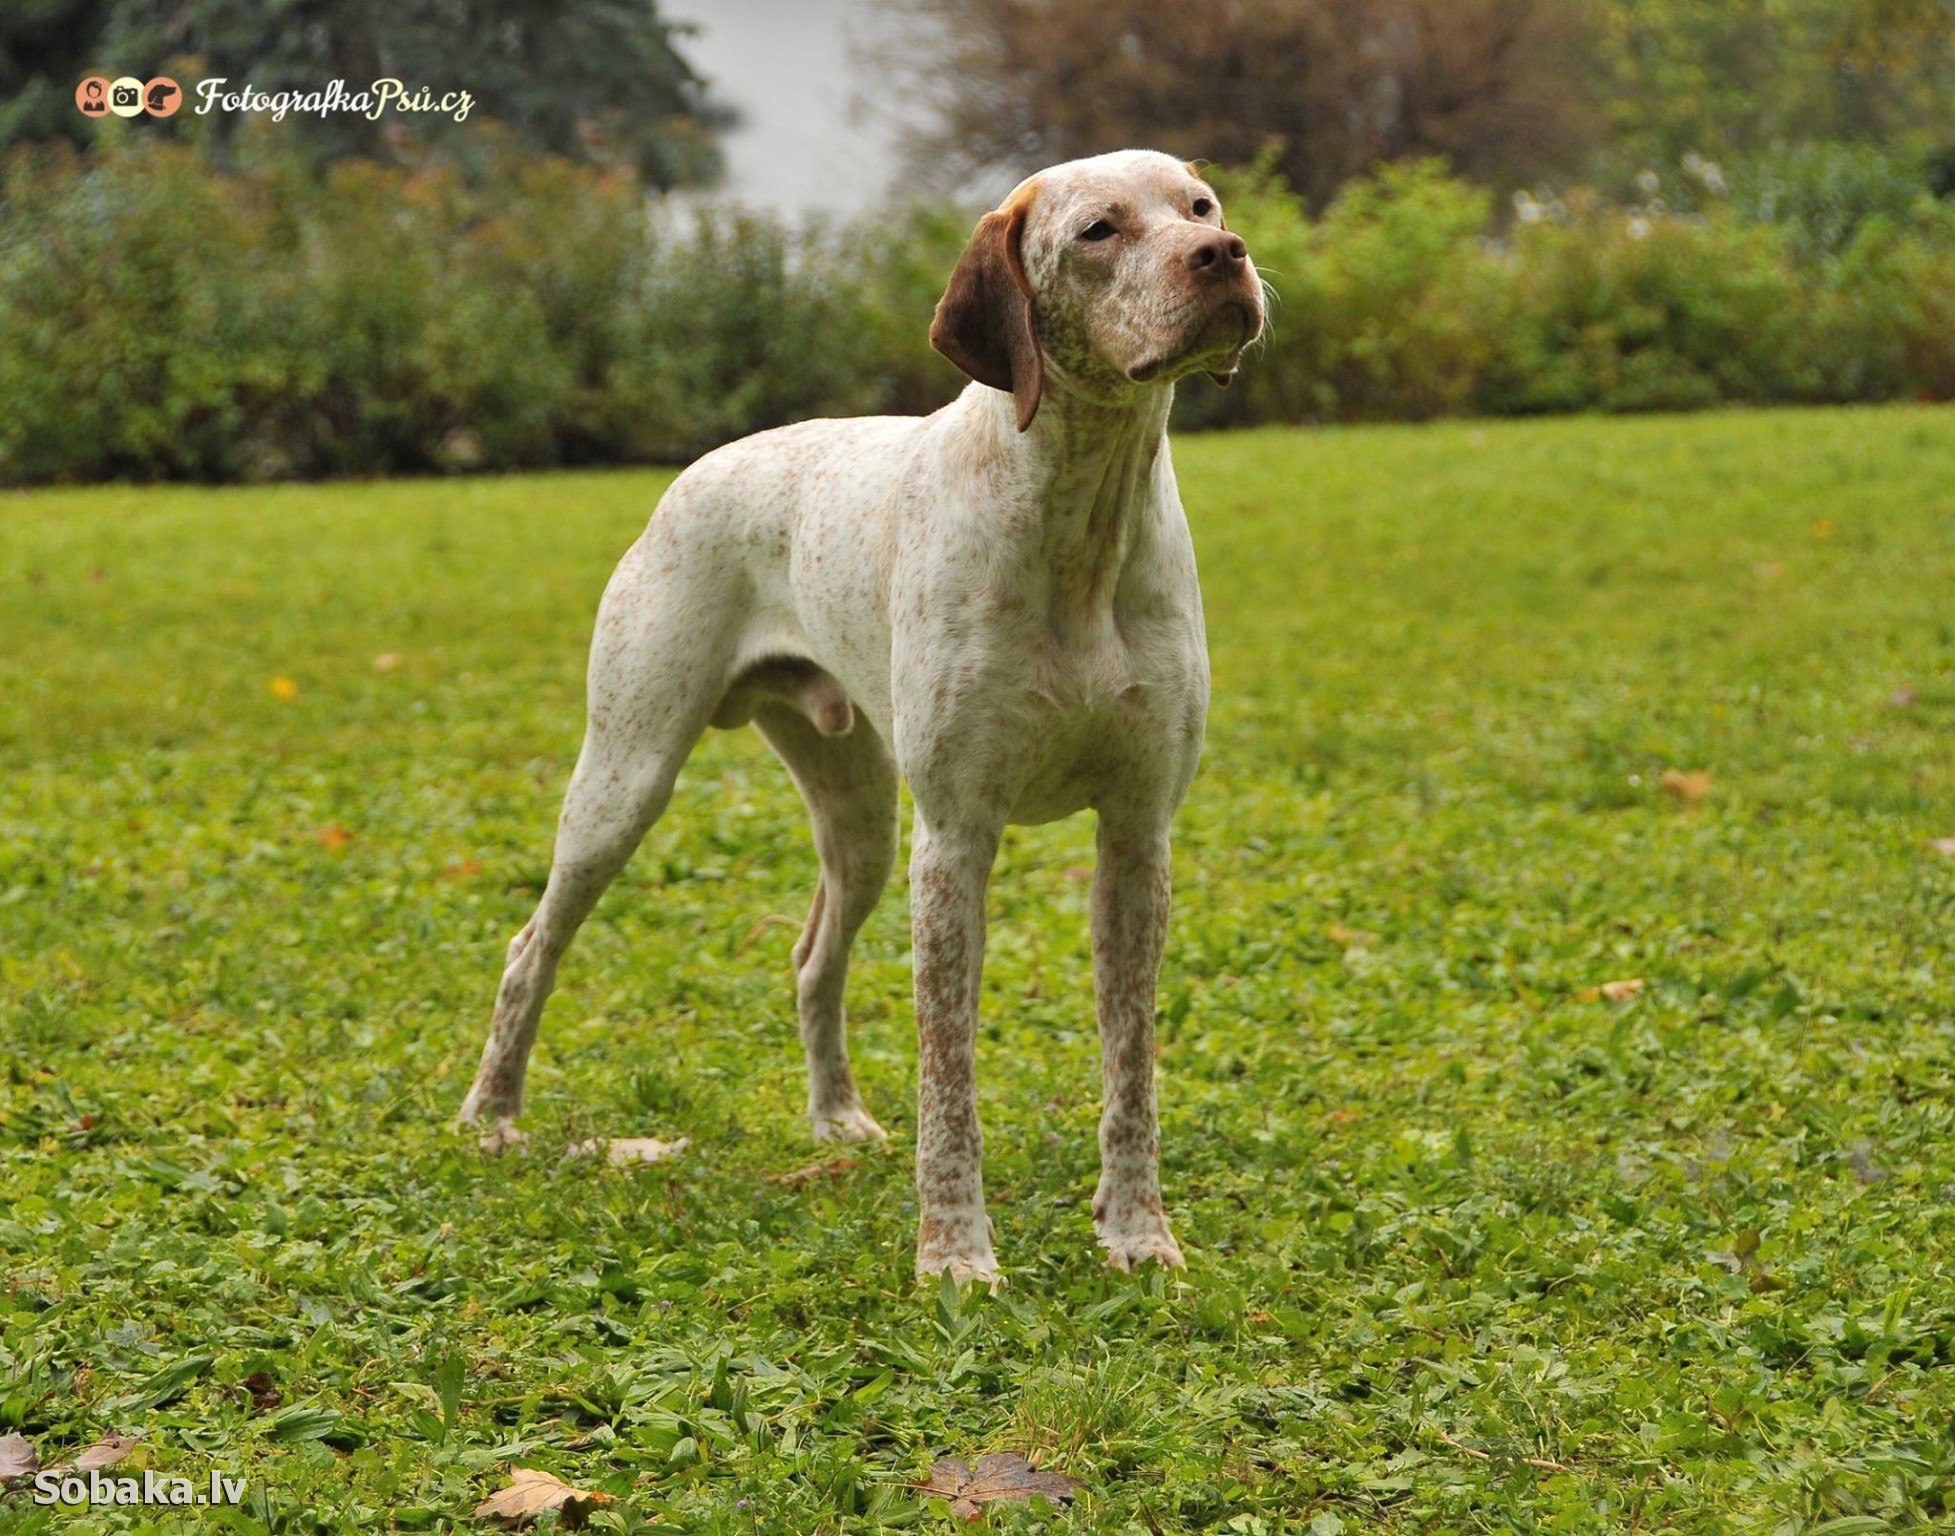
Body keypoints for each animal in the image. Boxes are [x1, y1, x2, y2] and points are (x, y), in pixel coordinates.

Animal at [465, 152, 1274, 1281]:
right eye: (1098, 232)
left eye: (1199, 208)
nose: (1224, 256)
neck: (1078, 513)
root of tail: (692, 474)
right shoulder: (957, 839)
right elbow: (950, 1079)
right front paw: (954, 1256)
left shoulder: (1135, 836)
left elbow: (1130, 1069)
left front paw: (1136, 1233)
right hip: (627, 779)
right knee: (530, 945)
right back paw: (492, 1116)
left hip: (861, 819)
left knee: (813, 960)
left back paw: (835, 1118)